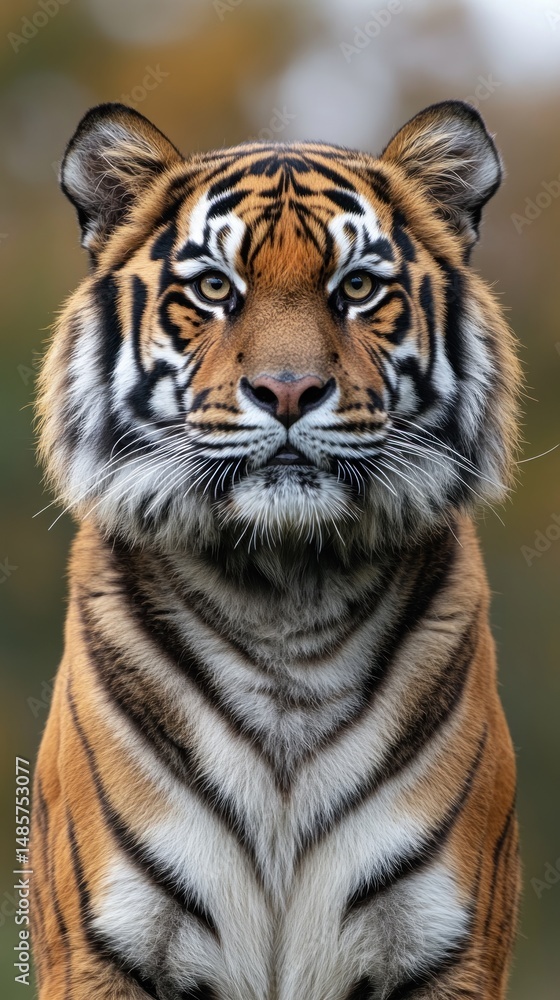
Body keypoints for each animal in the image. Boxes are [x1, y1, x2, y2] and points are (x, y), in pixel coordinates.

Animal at [31, 99, 521, 1000]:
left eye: (357, 288)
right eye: (214, 289)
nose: (288, 391)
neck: (286, 592)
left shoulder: (445, 945)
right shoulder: (104, 947)